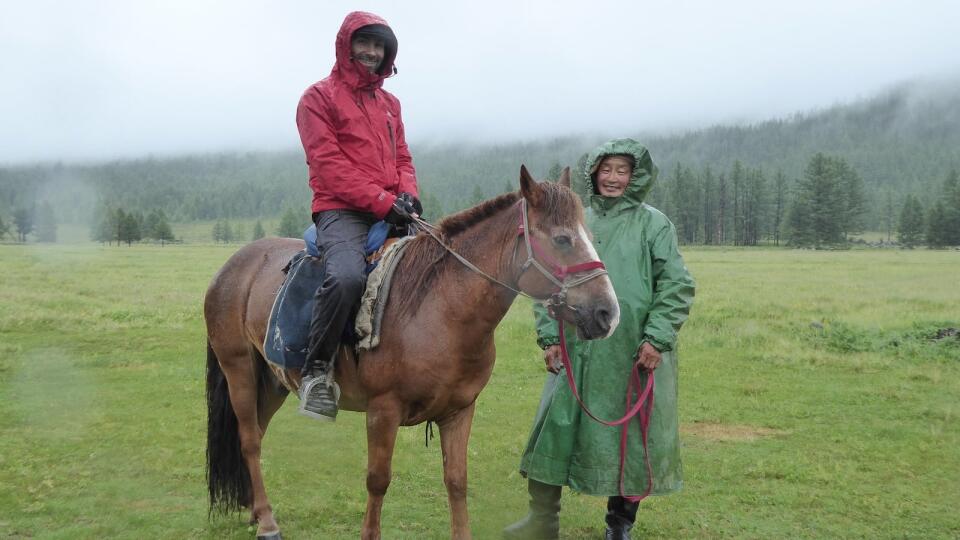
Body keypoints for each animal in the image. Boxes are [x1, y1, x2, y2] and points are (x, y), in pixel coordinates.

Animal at [204, 167, 624, 536]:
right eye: (563, 239)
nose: (608, 313)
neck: (440, 309)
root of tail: (233, 265)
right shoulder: (383, 410)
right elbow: (378, 481)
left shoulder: (459, 412)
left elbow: (456, 481)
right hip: (239, 369)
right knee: (250, 439)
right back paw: (267, 522)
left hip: (273, 380)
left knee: (257, 432)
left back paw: (255, 511)